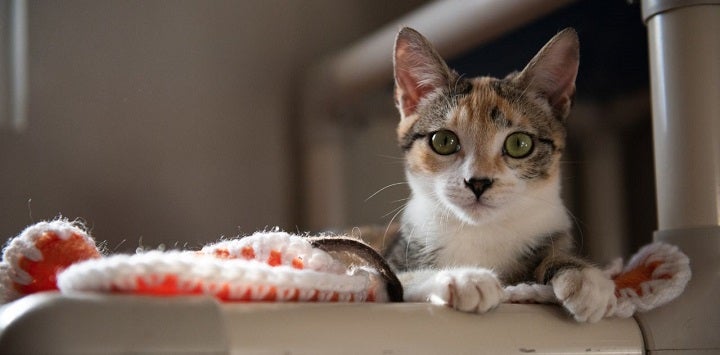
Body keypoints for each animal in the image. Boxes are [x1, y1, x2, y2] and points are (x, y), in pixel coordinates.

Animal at [386, 27, 616, 322]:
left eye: (519, 143)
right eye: (444, 141)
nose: (478, 182)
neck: (482, 229)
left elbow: (553, 255)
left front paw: (586, 279)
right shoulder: (391, 261)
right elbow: (401, 277)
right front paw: (466, 278)